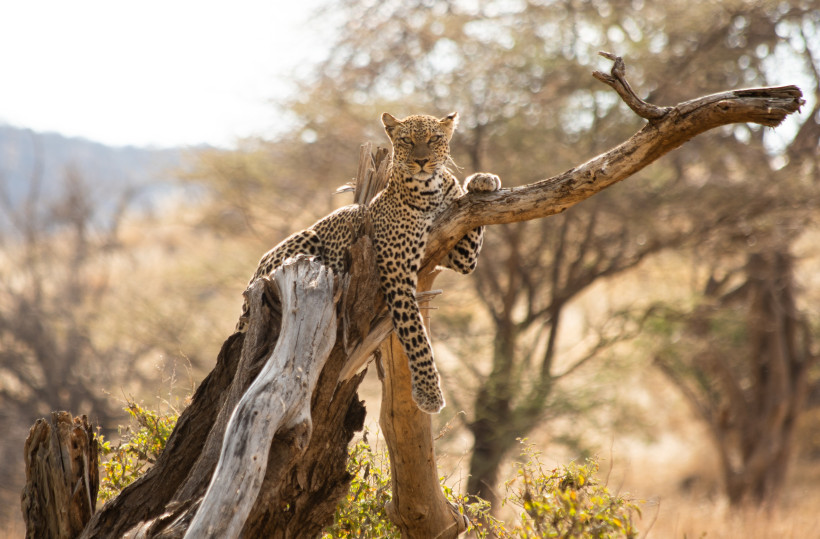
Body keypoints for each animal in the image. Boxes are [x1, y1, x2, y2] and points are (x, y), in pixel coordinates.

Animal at [236, 112, 501, 413]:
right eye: (406, 140)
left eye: (435, 138)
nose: (422, 161)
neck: (429, 191)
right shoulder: (398, 273)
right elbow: (415, 334)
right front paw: (429, 393)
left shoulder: (459, 254)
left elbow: (471, 217)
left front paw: (482, 179)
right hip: (309, 238)